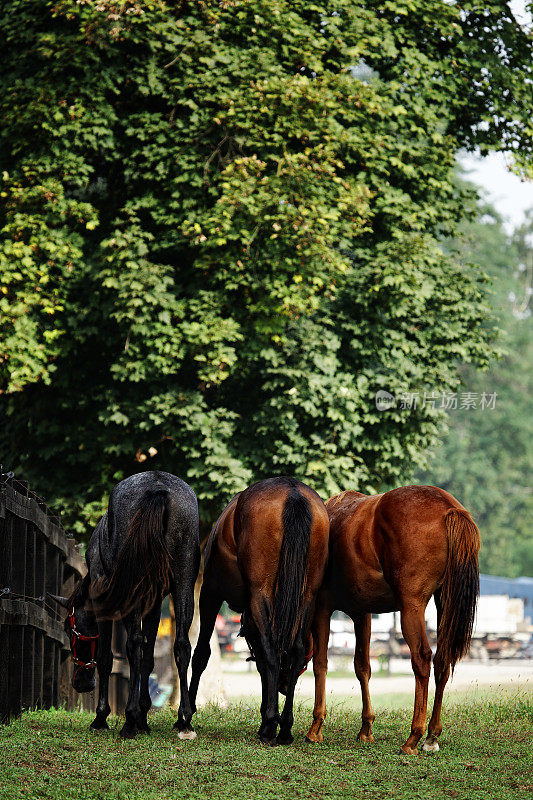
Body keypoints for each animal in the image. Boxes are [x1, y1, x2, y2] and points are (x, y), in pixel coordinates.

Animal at [49, 472, 200, 740]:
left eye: (69, 629)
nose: (81, 684)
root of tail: (158, 487)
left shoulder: (102, 604)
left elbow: (106, 657)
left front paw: (103, 717)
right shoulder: (154, 602)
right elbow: (149, 656)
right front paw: (144, 715)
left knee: (134, 645)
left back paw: (129, 720)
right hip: (183, 582)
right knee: (181, 645)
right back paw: (184, 719)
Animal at [187, 476, 328, 744]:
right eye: (306, 664)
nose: (284, 686)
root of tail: (293, 491)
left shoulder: (210, 592)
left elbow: (201, 653)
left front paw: (186, 715)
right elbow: (263, 661)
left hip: (259, 591)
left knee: (271, 649)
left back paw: (273, 725)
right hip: (308, 595)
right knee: (292, 649)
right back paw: (285, 727)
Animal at [306, 484, 480, 752]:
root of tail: (449, 508)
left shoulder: (321, 610)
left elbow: (321, 664)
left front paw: (316, 727)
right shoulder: (362, 614)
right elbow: (362, 667)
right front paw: (366, 728)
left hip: (411, 607)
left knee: (422, 659)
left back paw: (414, 737)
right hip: (444, 603)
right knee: (442, 661)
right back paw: (431, 735)